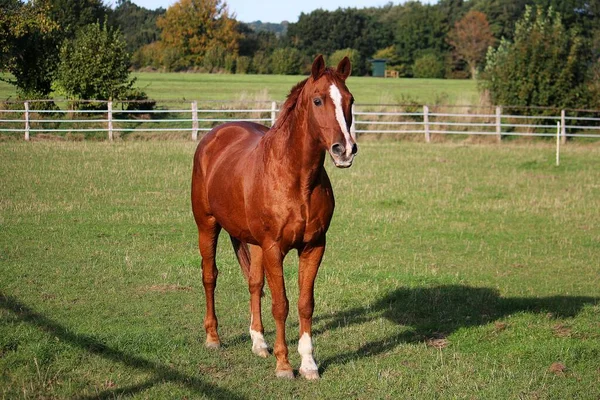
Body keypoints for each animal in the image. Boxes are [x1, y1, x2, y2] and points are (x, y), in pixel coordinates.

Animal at [191, 54, 356, 380]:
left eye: (350, 100)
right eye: (318, 100)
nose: (345, 150)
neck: (296, 179)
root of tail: (215, 134)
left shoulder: (313, 247)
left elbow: (305, 304)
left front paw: (308, 364)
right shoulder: (273, 248)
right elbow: (281, 305)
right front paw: (284, 365)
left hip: (253, 243)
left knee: (254, 284)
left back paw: (259, 343)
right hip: (208, 226)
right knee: (209, 277)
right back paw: (213, 338)